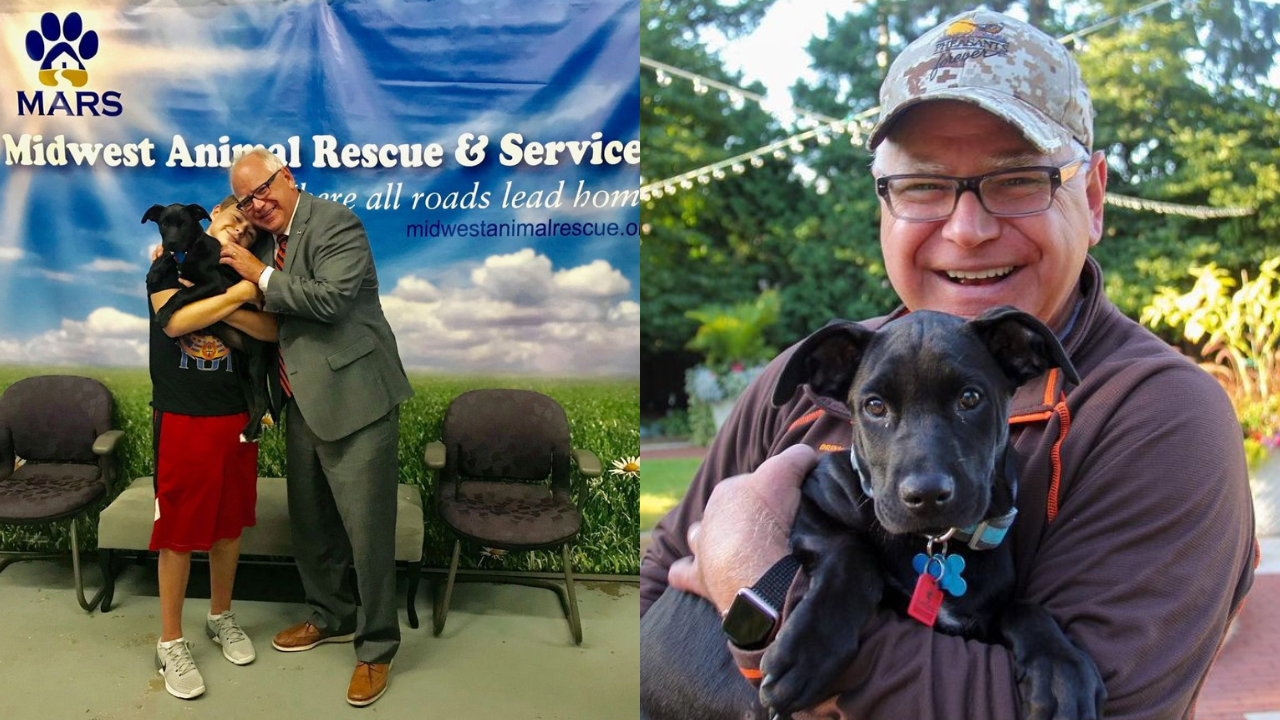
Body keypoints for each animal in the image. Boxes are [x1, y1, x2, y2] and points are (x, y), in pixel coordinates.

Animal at [144, 198, 271, 440]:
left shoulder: (214, 283)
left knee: (261, 402)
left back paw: (248, 432)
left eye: (183, 224)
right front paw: (155, 271)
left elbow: (182, 293)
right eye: (164, 224)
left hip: (256, 362)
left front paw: (164, 312)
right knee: (252, 400)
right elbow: (168, 259)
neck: (189, 250)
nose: (171, 242)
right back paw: (252, 431)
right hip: (242, 368)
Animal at [645, 307, 1105, 717]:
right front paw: (809, 648)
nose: (926, 495)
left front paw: (1061, 672)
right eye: (875, 406)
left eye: (970, 398)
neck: (935, 545)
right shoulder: (810, 501)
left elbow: (1025, 608)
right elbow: (853, 553)